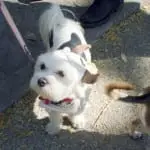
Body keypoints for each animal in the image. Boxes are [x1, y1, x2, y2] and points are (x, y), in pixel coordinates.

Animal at [29, 4, 99, 135]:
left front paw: (77, 121)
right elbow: (55, 116)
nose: (41, 81)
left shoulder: (81, 101)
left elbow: (77, 112)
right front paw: (54, 127)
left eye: (61, 73)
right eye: (42, 66)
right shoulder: (50, 104)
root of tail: (61, 20)